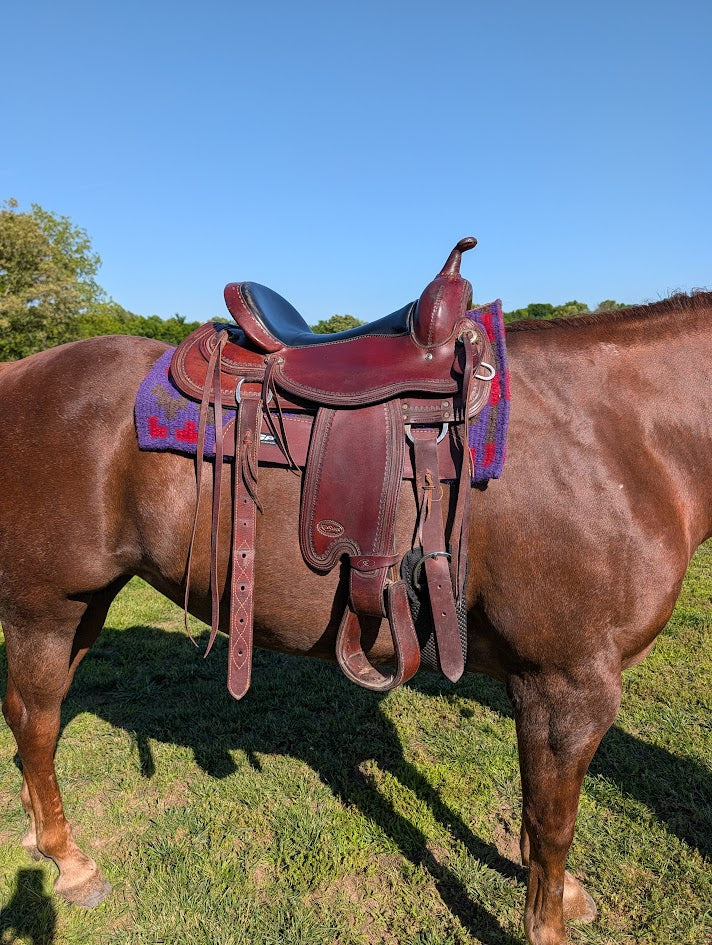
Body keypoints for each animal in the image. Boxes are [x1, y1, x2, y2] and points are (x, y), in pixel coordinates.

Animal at [0, 290, 710, 945]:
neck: (620, 438)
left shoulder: (548, 688)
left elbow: (541, 814)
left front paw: (558, 890)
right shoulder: (569, 685)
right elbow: (552, 821)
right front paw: (548, 917)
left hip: (85, 605)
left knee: (36, 716)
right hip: (45, 607)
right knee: (35, 720)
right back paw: (70, 862)